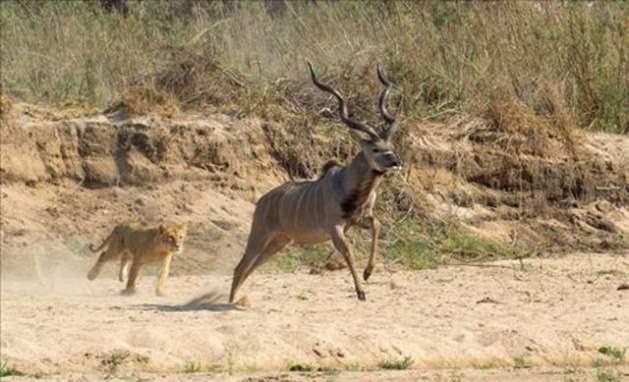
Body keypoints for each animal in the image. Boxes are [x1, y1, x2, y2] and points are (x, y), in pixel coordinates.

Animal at [228, 62, 400, 302]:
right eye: (375, 149)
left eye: (390, 145)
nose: (395, 162)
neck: (348, 184)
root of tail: (261, 202)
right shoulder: (335, 228)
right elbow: (349, 253)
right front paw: (361, 291)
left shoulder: (357, 220)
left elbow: (377, 224)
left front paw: (368, 273)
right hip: (260, 234)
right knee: (240, 266)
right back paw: (229, 301)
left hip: (279, 241)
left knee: (250, 267)